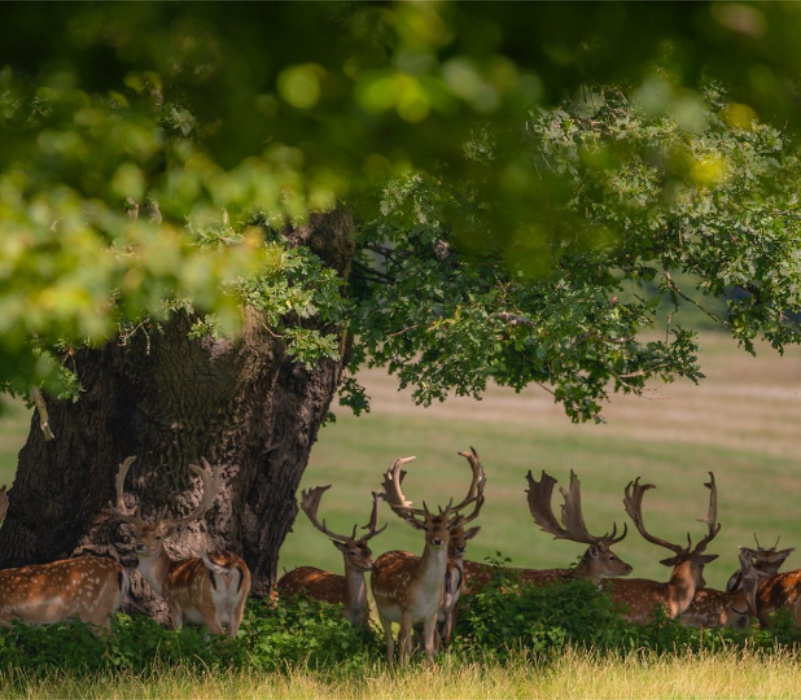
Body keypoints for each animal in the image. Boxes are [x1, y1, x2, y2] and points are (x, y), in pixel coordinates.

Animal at [113, 455, 251, 637]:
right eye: (136, 535)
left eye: (158, 537)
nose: (140, 546)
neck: (164, 577)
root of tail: (228, 567)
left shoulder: (174, 605)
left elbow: (177, 634)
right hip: (240, 605)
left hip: (208, 605)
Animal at [276, 486, 387, 627]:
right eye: (352, 552)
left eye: (369, 551)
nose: (372, 563)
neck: (353, 610)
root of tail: (281, 580)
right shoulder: (336, 618)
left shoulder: (365, 623)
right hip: (286, 603)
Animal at [370, 451, 484, 666]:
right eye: (426, 527)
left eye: (447, 526)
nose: (437, 540)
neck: (425, 593)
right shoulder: (406, 611)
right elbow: (407, 646)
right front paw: (404, 670)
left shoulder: (431, 614)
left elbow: (430, 647)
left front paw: (429, 671)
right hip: (382, 610)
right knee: (391, 641)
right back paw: (391, 666)